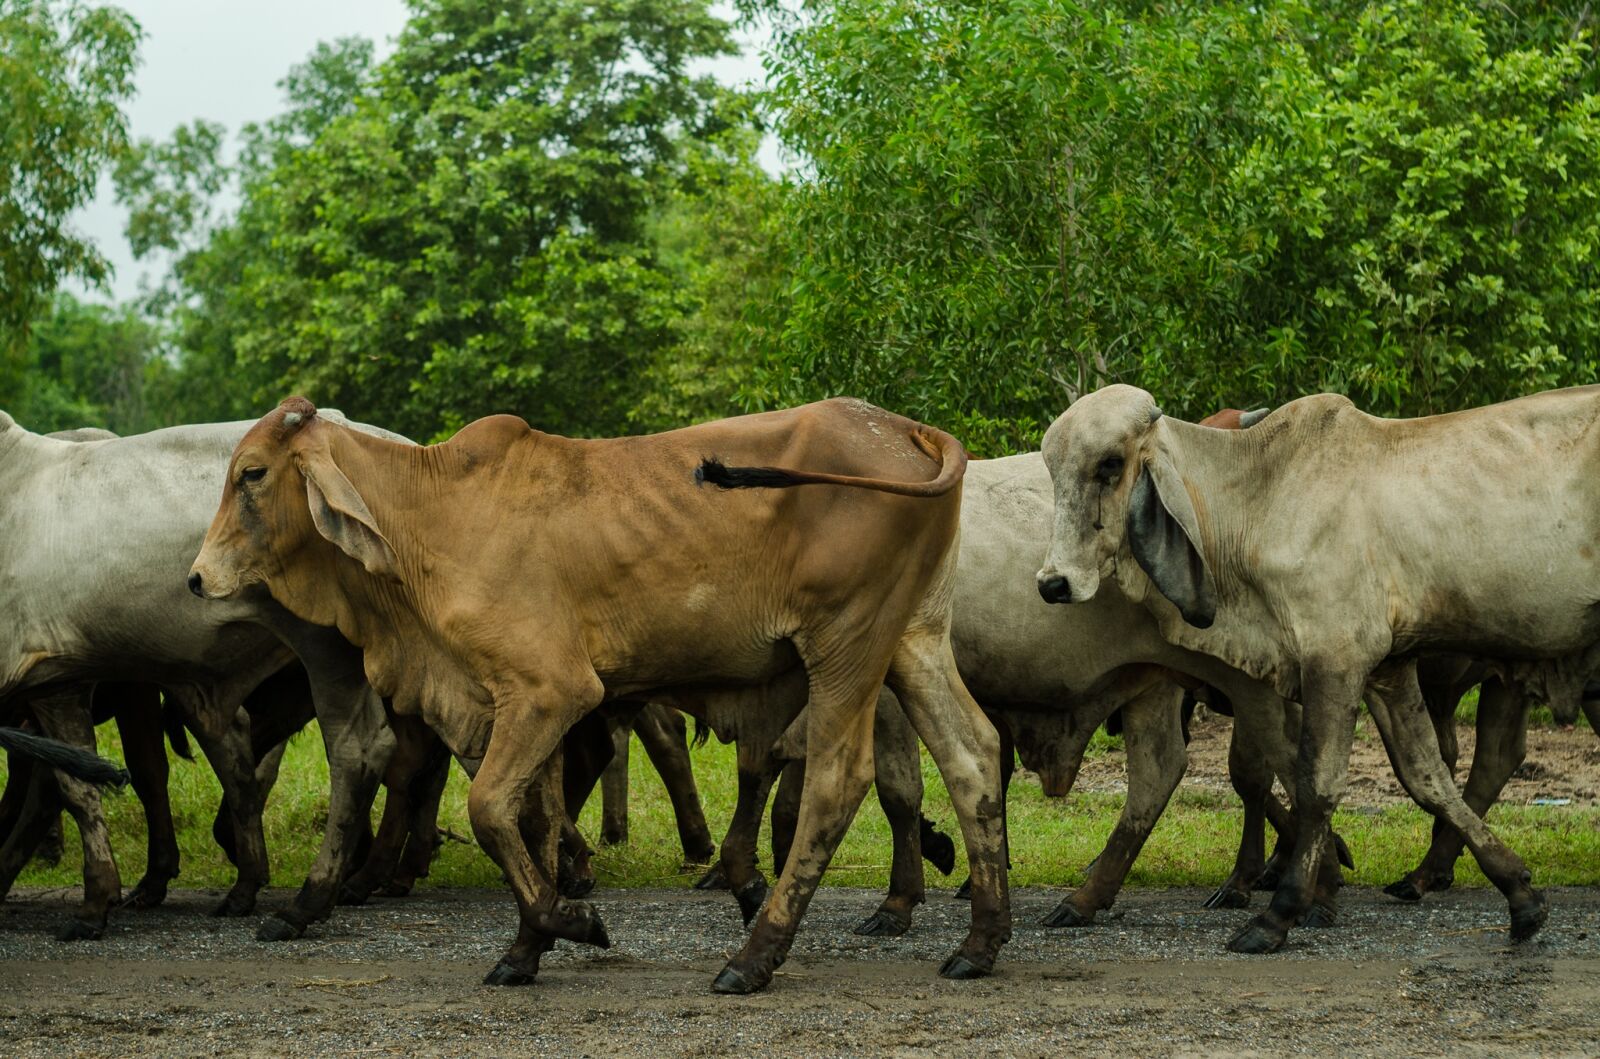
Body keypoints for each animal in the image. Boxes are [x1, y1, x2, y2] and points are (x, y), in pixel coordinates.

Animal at [188, 396, 1011, 994]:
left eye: (252, 473)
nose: (196, 577)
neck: (433, 515)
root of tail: (902, 428)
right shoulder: (522, 707)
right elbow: (537, 820)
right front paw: (530, 944)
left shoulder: (548, 690)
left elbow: (490, 809)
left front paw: (571, 921)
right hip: (912, 639)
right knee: (972, 755)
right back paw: (982, 940)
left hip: (845, 645)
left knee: (838, 780)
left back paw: (755, 954)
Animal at [1034, 383, 1588, 952]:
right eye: (1052, 468)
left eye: (1109, 465)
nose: (1053, 583)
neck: (1261, 495)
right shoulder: (1386, 669)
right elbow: (1426, 778)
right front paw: (1521, 893)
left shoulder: (1334, 658)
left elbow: (1316, 786)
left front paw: (1280, 912)